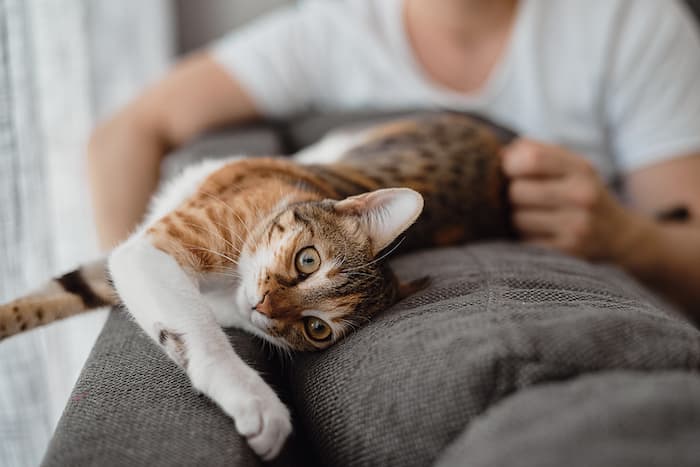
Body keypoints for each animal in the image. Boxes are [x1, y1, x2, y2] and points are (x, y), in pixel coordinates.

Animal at [0, 114, 512, 460]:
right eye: (308, 260)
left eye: (316, 329)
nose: (265, 307)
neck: (228, 285)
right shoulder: (151, 248)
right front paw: (253, 397)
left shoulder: (127, 265)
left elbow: (67, 292)